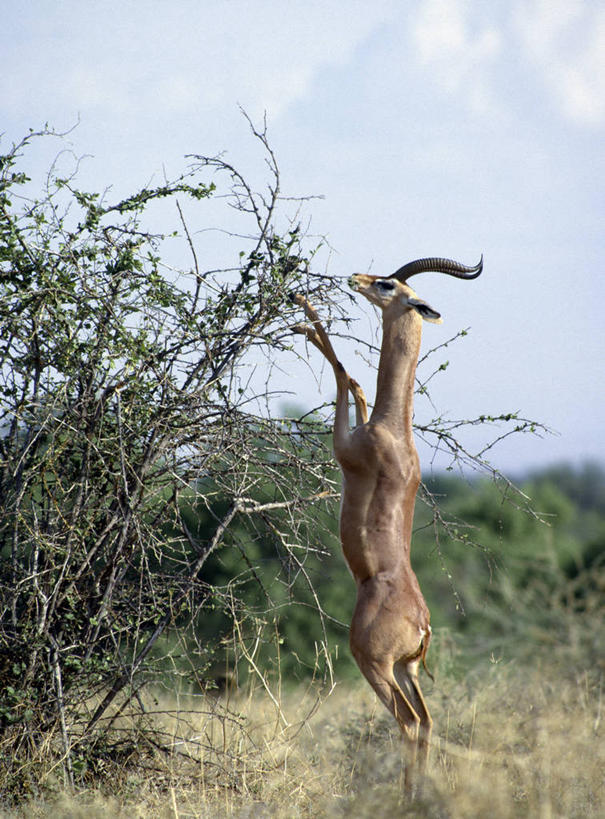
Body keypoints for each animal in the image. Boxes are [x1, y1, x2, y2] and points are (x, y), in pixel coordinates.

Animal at [292, 256, 482, 796]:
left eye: (388, 284)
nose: (354, 278)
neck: (392, 427)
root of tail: (423, 625)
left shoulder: (344, 446)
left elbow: (341, 371)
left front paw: (302, 313)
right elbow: (355, 383)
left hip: (375, 665)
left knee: (407, 722)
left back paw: (404, 796)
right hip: (407, 669)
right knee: (428, 722)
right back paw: (417, 793)